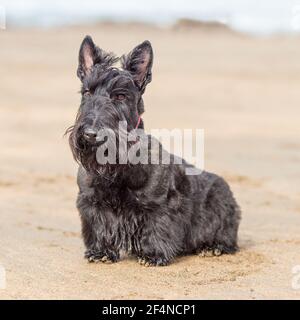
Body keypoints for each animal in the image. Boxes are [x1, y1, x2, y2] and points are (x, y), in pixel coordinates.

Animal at [68, 35, 241, 266]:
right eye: (87, 92)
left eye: (120, 96)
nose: (90, 134)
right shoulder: (90, 201)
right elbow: (98, 226)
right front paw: (100, 251)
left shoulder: (160, 205)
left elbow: (156, 226)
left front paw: (153, 254)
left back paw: (213, 247)